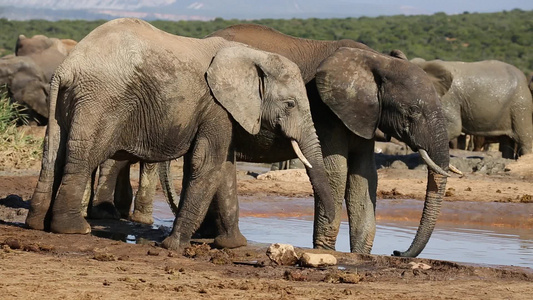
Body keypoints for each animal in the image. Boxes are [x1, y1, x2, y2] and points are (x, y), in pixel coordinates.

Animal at [25, 18, 334, 251]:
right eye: (290, 104)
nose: (325, 240)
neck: (253, 55)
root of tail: (66, 67)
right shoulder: (216, 106)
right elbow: (208, 164)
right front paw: (173, 246)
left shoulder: (223, 111)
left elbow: (224, 168)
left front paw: (233, 245)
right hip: (101, 99)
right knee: (84, 156)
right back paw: (75, 229)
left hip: (68, 102)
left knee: (53, 153)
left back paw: (36, 224)